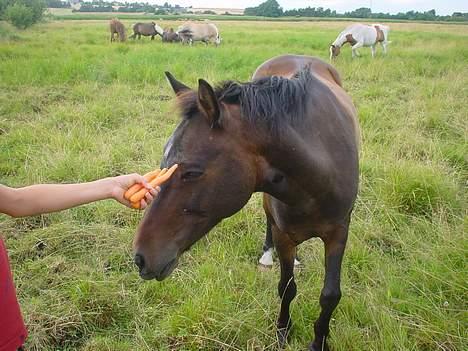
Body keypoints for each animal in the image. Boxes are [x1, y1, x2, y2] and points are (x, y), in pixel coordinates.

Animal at [133, 53, 360, 350]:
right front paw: (283, 331)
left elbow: (330, 295)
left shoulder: (339, 231)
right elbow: (287, 287)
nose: (140, 259)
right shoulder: (284, 234)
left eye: (192, 172)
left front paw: (318, 341)